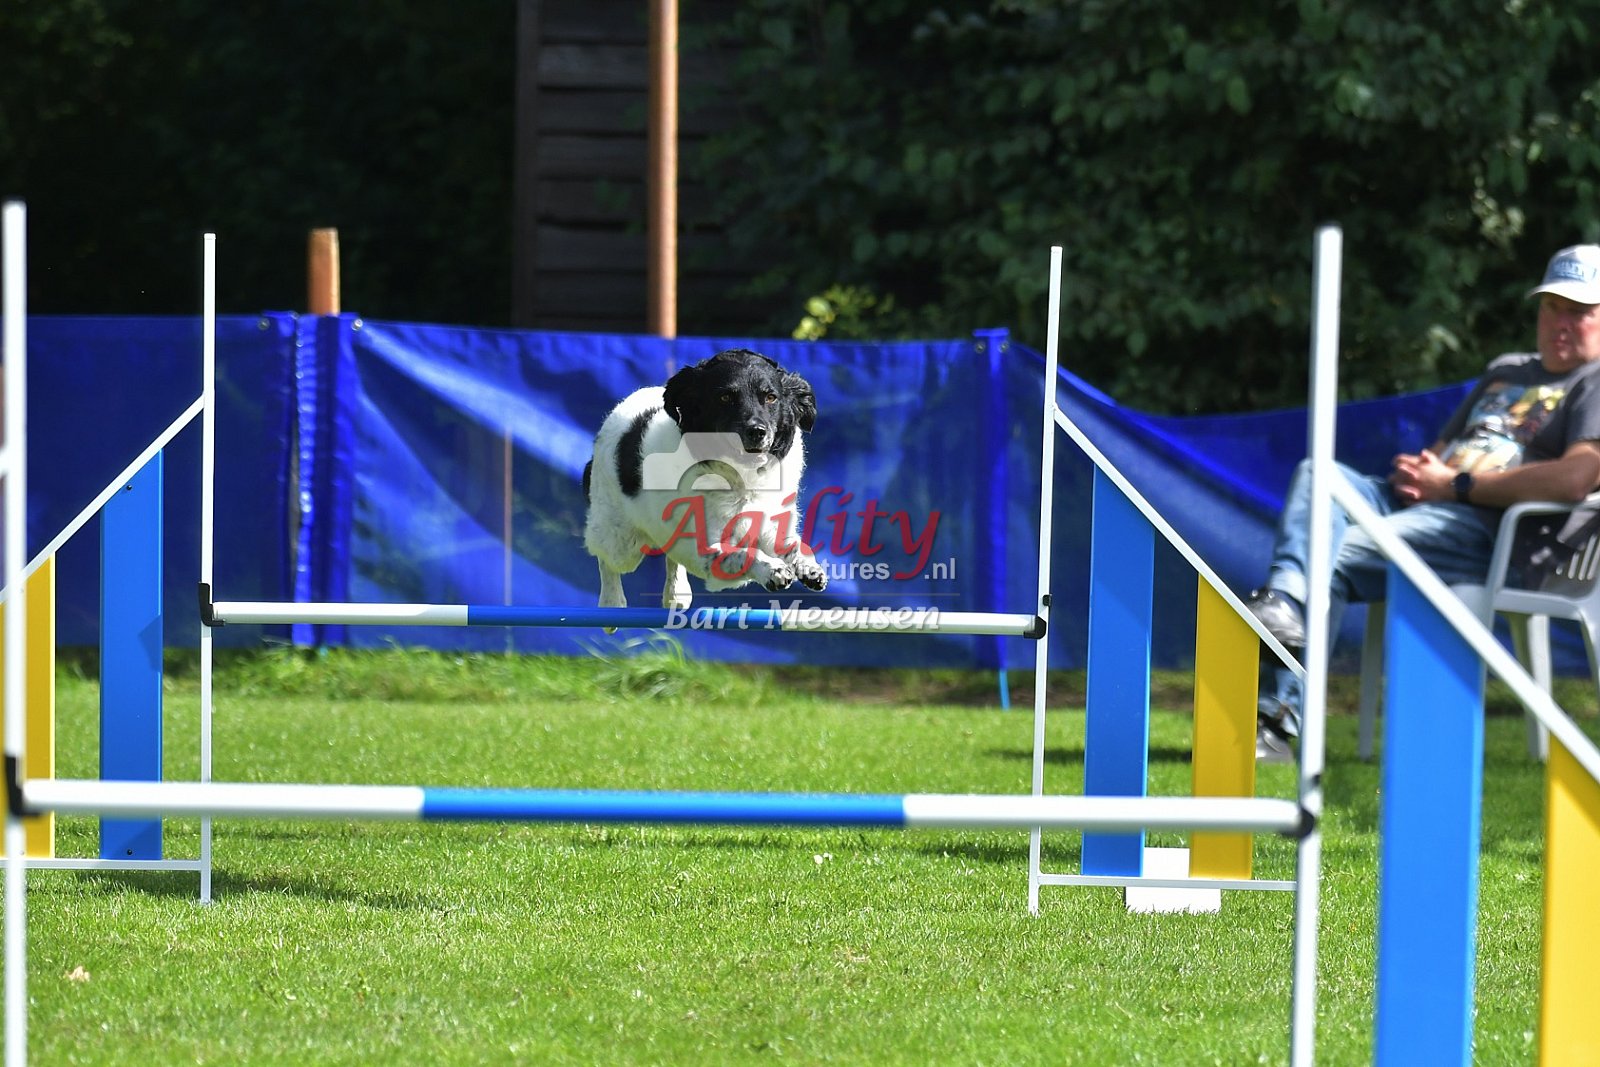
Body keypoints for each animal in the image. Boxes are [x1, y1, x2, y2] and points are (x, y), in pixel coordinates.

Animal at [582, 348, 828, 610]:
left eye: (771, 397)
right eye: (725, 398)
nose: (757, 431)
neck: (743, 479)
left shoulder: (771, 522)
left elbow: (793, 545)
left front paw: (809, 567)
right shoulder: (709, 548)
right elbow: (743, 554)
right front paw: (772, 569)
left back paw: (676, 594)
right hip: (621, 541)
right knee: (606, 558)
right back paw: (612, 600)